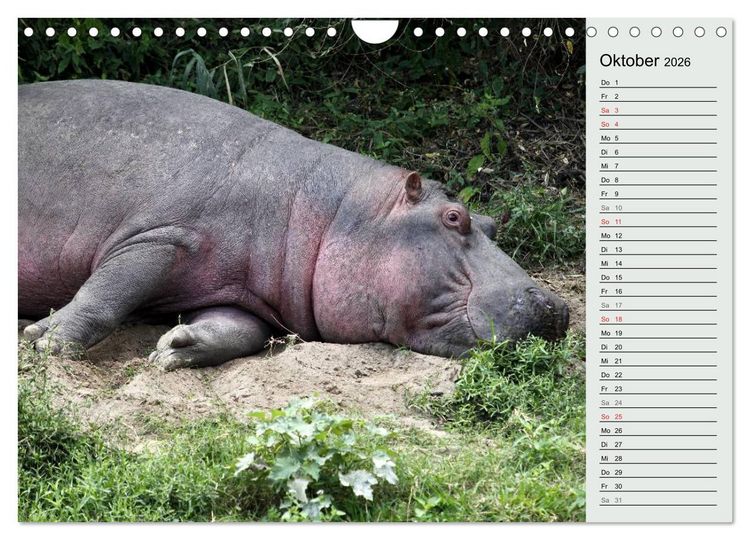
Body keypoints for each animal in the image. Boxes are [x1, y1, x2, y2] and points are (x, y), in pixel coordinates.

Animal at [18, 80, 568, 370]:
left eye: (493, 224)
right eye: (454, 217)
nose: (558, 307)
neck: (329, 212)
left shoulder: (235, 292)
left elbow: (240, 332)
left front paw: (175, 348)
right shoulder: (160, 238)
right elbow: (106, 293)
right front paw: (46, 342)